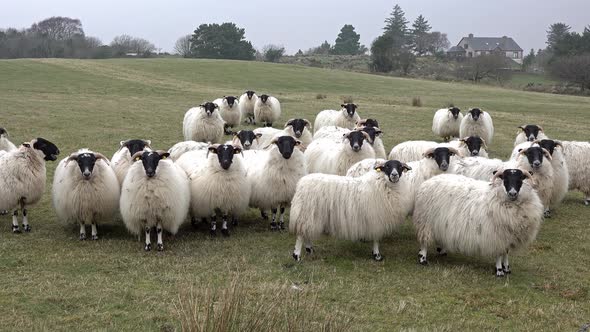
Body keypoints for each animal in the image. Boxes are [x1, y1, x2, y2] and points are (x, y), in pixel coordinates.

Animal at [414, 169, 544, 278]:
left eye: (520, 179)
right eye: (505, 179)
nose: (512, 193)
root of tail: (429, 181)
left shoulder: (508, 237)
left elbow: (506, 253)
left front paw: (506, 268)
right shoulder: (497, 236)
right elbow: (499, 253)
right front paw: (499, 270)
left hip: (439, 222)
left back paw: (440, 251)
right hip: (425, 221)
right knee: (424, 241)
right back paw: (423, 258)